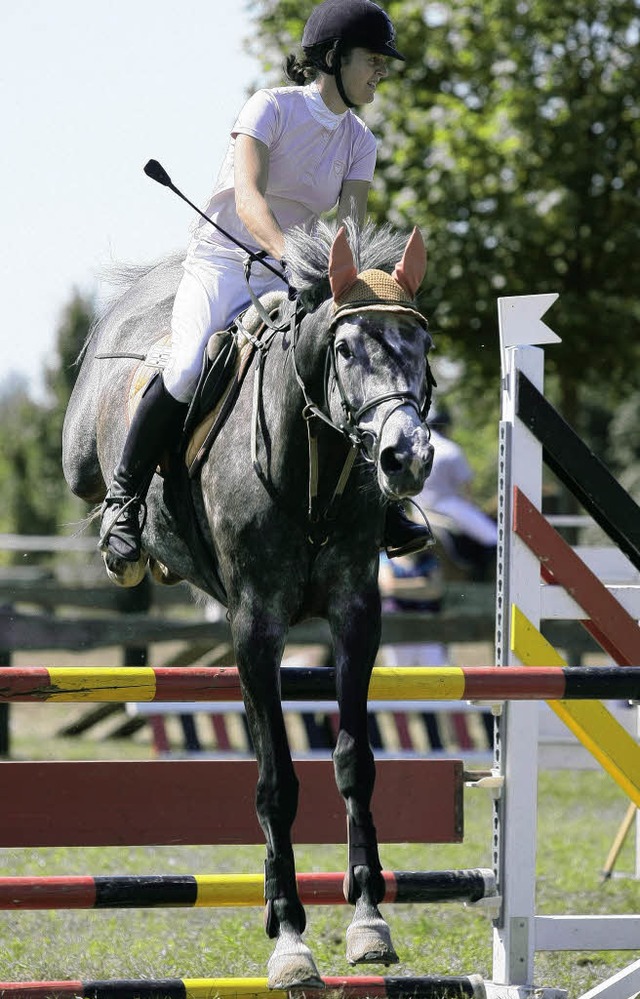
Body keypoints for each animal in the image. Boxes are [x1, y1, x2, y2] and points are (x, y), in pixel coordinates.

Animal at [62, 215, 436, 988]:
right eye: (347, 348)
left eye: (424, 347)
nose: (407, 457)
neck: (314, 461)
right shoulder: (255, 626)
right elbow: (275, 782)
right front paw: (291, 938)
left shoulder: (357, 615)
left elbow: (354, 759)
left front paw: (368, 921)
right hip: (83, 452)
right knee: (98, 468)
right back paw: (124, 536)